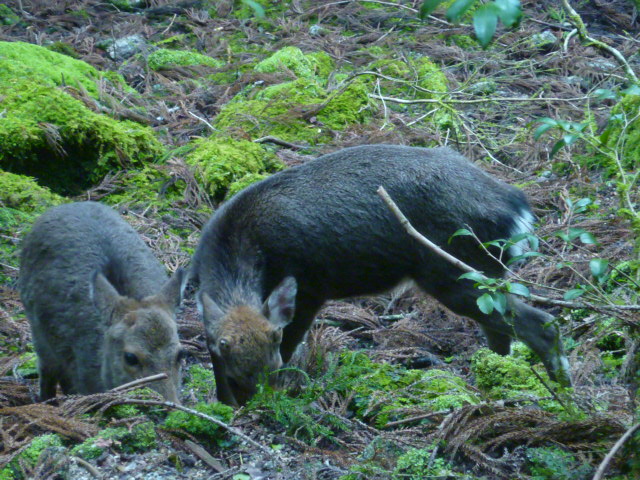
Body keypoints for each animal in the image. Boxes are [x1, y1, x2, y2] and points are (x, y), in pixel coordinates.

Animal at [190, 144, 568, 406]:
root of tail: (517, 209)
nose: (253, 405)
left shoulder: (311, 288)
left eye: (269, 366)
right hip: (480, 274)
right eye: (227, 361)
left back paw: (562, 390)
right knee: (501, 334)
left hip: (453, 270)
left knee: (540, 323)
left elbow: (292, 342)